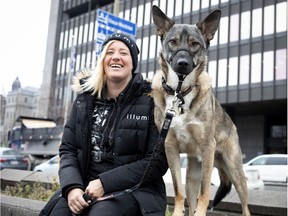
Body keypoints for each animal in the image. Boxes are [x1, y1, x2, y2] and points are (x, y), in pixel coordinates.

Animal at [152, 5, 251, 216]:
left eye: (194, 44)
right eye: (172, 42)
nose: (182, 63)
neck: (180, 93)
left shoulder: (207, 147)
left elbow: (205, 192)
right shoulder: (170, 148)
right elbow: (178, 191)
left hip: (234, 171)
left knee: (245, 205)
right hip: (192, 175)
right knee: (190, 199)